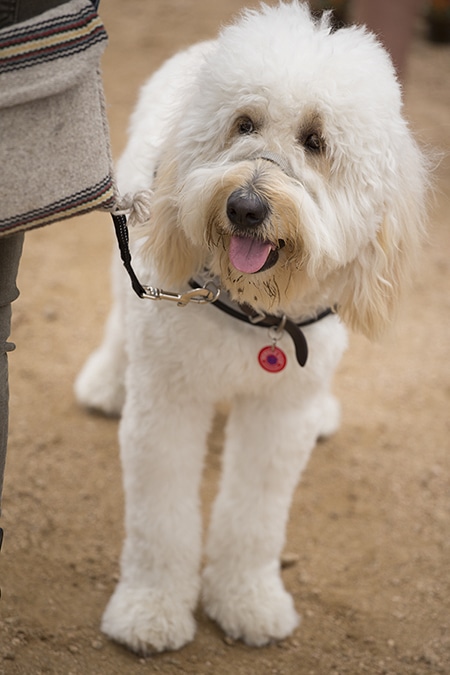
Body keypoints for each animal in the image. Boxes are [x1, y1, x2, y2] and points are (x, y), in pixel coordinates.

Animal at [75, 1, 428, 655]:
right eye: (243, 123)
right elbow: (160, 519)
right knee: (118, 313)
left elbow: (255, 518)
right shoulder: (168, 401)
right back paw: (108, 380)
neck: (253, 311)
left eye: (316, 141)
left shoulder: (278, 416)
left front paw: (249, 601)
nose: (245, 206)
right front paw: (149, 609)